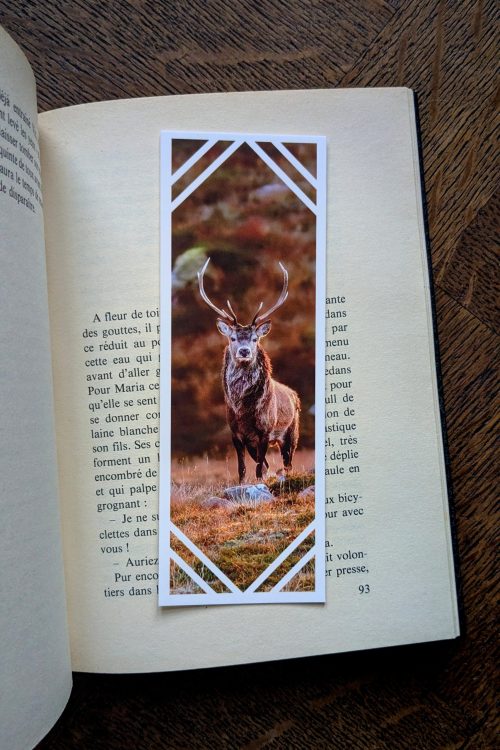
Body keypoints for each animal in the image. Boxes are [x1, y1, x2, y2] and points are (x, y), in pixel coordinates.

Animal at [197, 258, 300, 483]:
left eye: (255, 338)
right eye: (233, 338)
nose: (244, 351)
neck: (243, 411)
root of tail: (294, 394)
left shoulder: (265, 431)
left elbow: (259, 469)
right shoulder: (236, 433)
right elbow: (243, 469)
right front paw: (243, 485)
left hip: (291, 433)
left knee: (287, 464)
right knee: (271, 465)